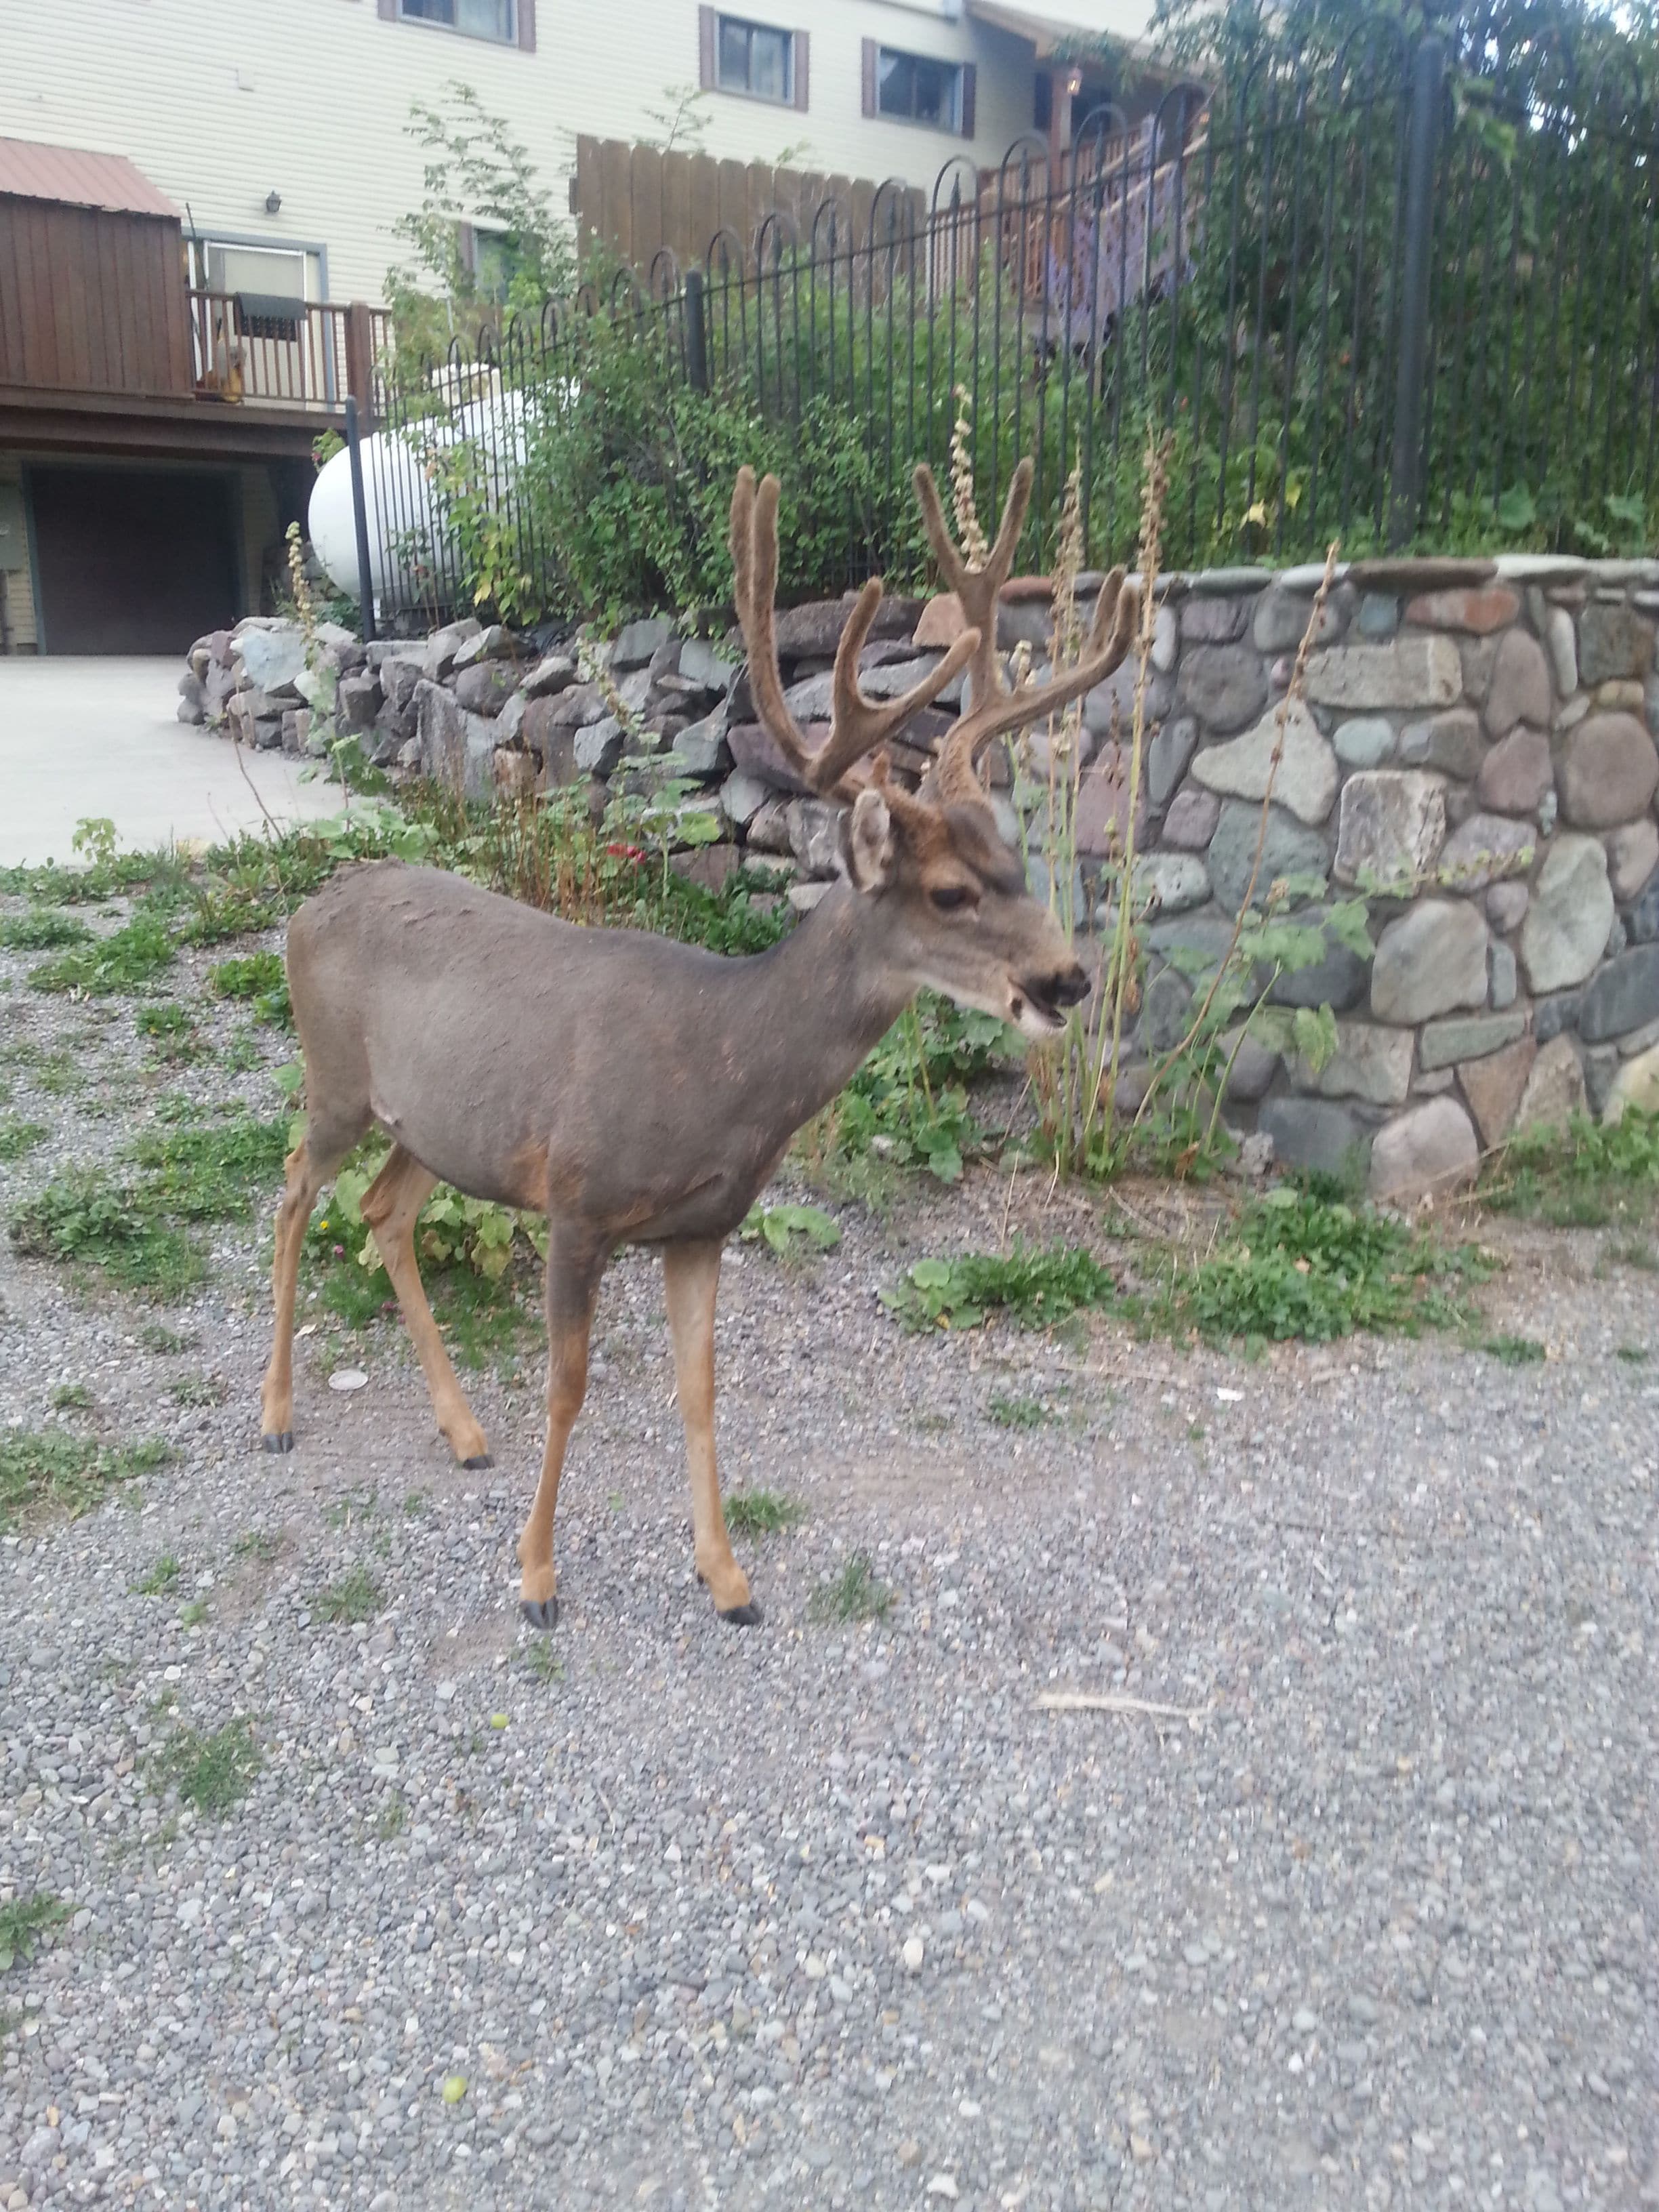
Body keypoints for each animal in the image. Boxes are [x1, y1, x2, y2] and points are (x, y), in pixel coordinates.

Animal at [259, 455, 1138, 1631]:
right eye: (950, 892)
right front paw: (537, 1577)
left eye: (1017, 866)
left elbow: (701, 1386)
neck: (721, 1069)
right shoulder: (579, 1199)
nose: (1067, 978)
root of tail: (305, 911)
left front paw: (727, 1579)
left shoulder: (702, 1228)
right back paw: (277, 1415)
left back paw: (464, 1432)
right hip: (336, 1082)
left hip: (438, 1127)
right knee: (293, 1195)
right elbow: (569, 1384)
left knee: (382, 1213)